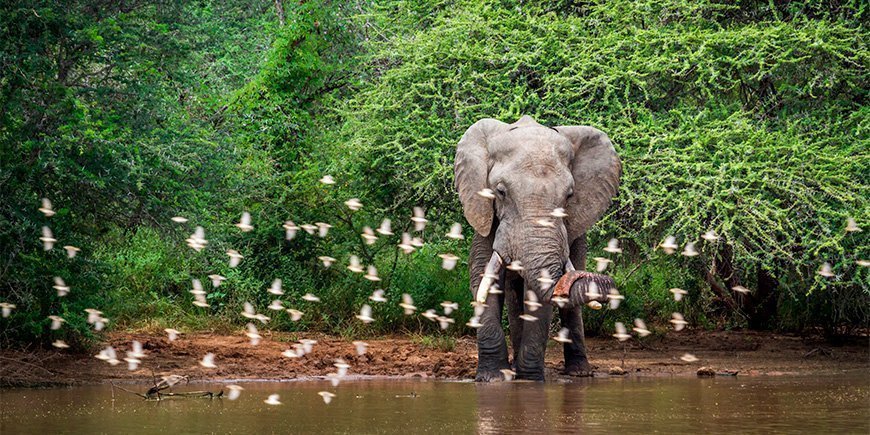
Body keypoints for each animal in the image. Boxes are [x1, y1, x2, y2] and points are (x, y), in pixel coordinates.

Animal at [454, 115, 621, 381]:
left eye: (569, 196)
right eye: (500, 191)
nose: (605, 285)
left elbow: (537, 292)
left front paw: (530, 380)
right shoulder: (483, 211)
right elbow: (482, 276)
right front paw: (492, 378)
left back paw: (579, 372)